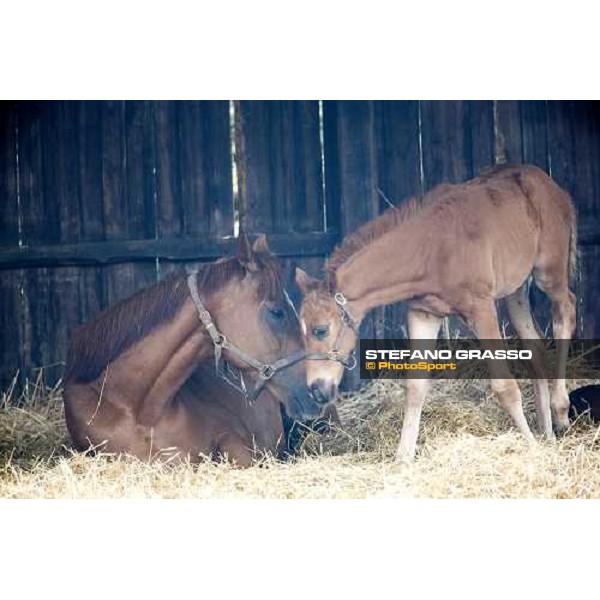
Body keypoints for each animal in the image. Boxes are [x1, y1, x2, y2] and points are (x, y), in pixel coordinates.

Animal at [296, 164, 576, 460]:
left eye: (321, 330)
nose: (316, 390)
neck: (430, 250)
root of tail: (553, 186)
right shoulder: (423, 313)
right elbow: (415, 387)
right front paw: (402, 459)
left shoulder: (481, 308)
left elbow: (505, 387)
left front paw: (531, 447)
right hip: (516, 290)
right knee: (535, 346)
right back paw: (548, 433)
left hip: (548, 272)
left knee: (565, 311)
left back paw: (560, 411)